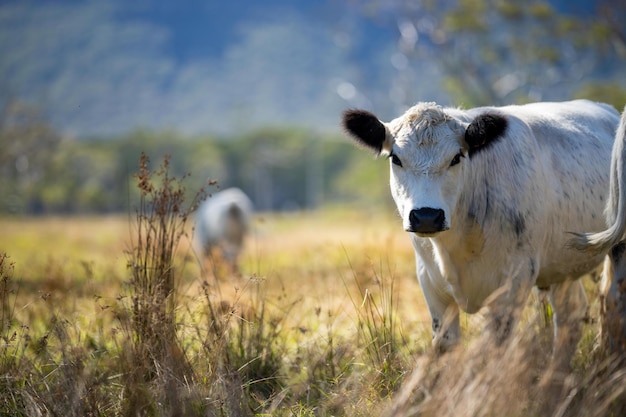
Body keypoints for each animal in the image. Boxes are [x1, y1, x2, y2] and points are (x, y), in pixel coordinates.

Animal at [342, 98, 624, 368]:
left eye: (457, 157)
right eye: (396, 158)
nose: (426, 216)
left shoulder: (514, 282)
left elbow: (494, 349)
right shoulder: (431, 284)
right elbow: (446, 346)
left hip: (617, 247)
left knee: (612, 302)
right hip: (561, 267)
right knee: (571, 316)